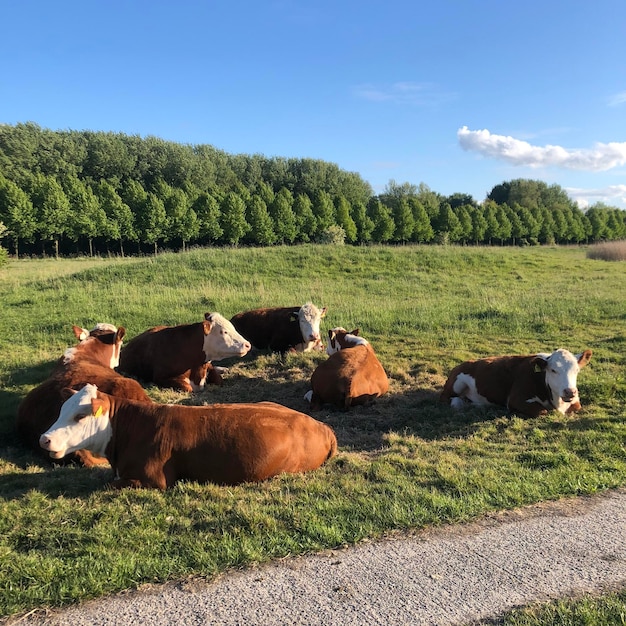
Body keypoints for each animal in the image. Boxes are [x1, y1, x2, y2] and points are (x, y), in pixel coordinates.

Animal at [438, 348, 588, 416]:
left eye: (576, 370)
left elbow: (576, 407)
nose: (570, 392)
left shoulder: (575, 401)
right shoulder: (516, 399)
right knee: (447, 397)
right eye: (553, 370)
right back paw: (459, 403)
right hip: (457, 383)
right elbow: (542, 411)